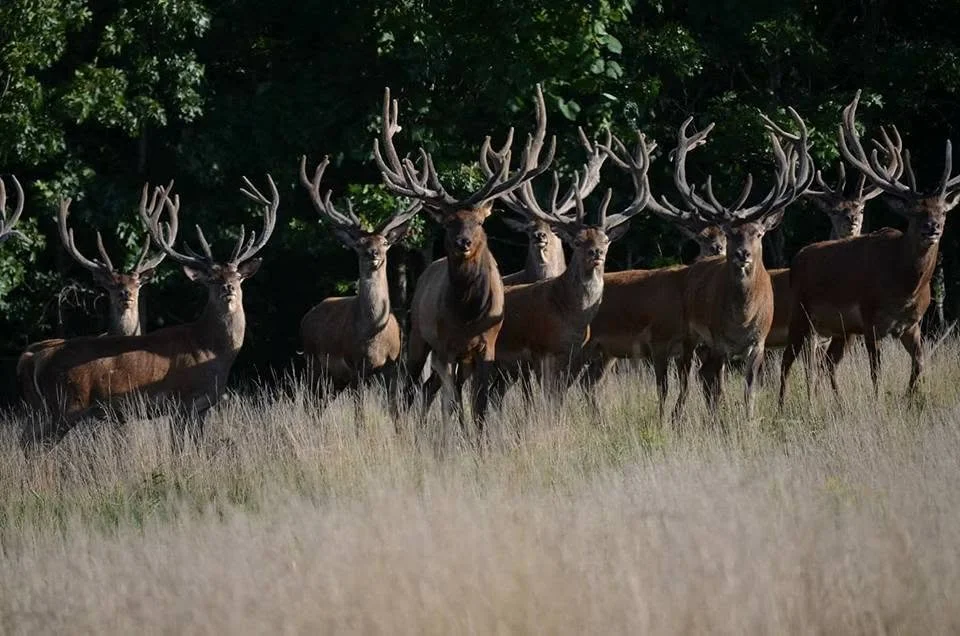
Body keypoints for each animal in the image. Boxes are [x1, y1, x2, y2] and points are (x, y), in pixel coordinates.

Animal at [19, 177, 278, 450]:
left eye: (237, 276)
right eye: (211, 278)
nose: (228, 287)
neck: (212, 350)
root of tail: (36, 358)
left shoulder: (203, 407)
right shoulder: (180, 401)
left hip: (44, 409)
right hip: (66, 405)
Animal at [298, 155, 420, 393]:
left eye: (384, 243)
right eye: (359, 244)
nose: (373, 253)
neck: (373, 335)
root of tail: (307, 318)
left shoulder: (392, 366)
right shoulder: (354, 364)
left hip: (336, 380)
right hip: (312, 363)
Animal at [373, 84, 554, 432]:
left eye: (480, 221)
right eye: (448, 222)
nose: (463, 242)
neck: (469, 314)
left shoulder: (487, 345)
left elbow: (480, 404)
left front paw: (477, 437)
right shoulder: (445, 346)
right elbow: (453, 402)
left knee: (435, 389)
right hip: (418, 335)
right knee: (413, 388)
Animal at [671, 109, 813, 420]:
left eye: (758, 233)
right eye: (730, 232)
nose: (743, 254)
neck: (742, 318)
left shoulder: (759, 342)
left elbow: (750, 390)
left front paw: (749, 421)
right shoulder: (718, 340)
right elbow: (719, 388)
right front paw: (720, 421)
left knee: (702, 375)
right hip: (689, 332)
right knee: (690, 376)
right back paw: (678, 416)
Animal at [779, 90, 959, 404]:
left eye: (943, 212)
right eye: (915, 212)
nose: (933, 228)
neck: (905, 287)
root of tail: (798, 257)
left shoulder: (912, 325)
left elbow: (920, 364)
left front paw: (910, 399)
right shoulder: (871, 318)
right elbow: (876, 372)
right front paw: (878, 403)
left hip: (840, 329)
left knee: (827, 363)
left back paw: (838, 405)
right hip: (801, 315)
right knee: (788, 362)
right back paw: (782, 405)